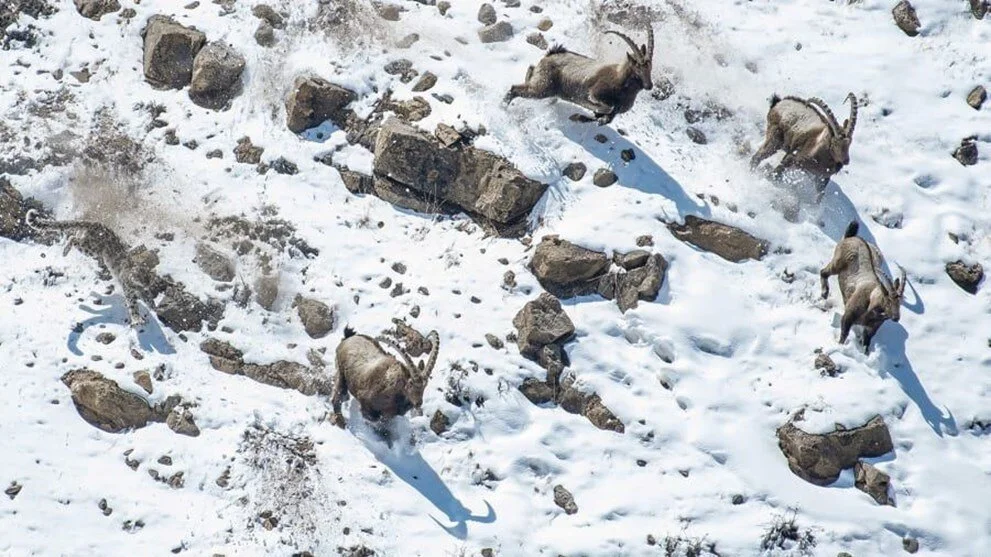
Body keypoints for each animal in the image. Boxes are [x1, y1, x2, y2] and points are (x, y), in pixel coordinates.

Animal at [508, 26, 656, 125]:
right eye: (637, 67)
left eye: (650, 68)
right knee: (515, 89)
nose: (649, 85)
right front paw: (580, 115)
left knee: (530, 71)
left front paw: (578, 117)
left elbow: (605, 118)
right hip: (543, 88)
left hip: (543, 85)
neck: (621, 83)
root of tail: (551, 54)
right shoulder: (595, 94)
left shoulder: (614, 111)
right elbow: (606, 108)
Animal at [820, 220, 908, 352]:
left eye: (900, 303)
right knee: (823, 272)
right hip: (836, 264)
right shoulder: (848, 317)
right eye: (888, 300)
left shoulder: (871, 328)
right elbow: (843, 335)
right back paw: (824, 293)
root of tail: (851, 237)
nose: (896, 318)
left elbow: (866, 344)